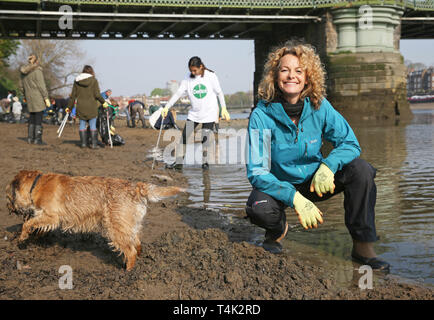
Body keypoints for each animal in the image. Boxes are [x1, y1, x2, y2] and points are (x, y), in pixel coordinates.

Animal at [5, 170, 185, 270]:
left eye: (8, 196)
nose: (8, 208)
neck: (37, 184)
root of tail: (137, 187)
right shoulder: (46, 217)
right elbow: (36, 225)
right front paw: (34, 236)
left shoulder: (51, 216)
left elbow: (28, 223)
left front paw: (22, 237)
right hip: (128, 224)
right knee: (137, 243)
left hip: (115, 227)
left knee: (131, 251)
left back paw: (127, 273)